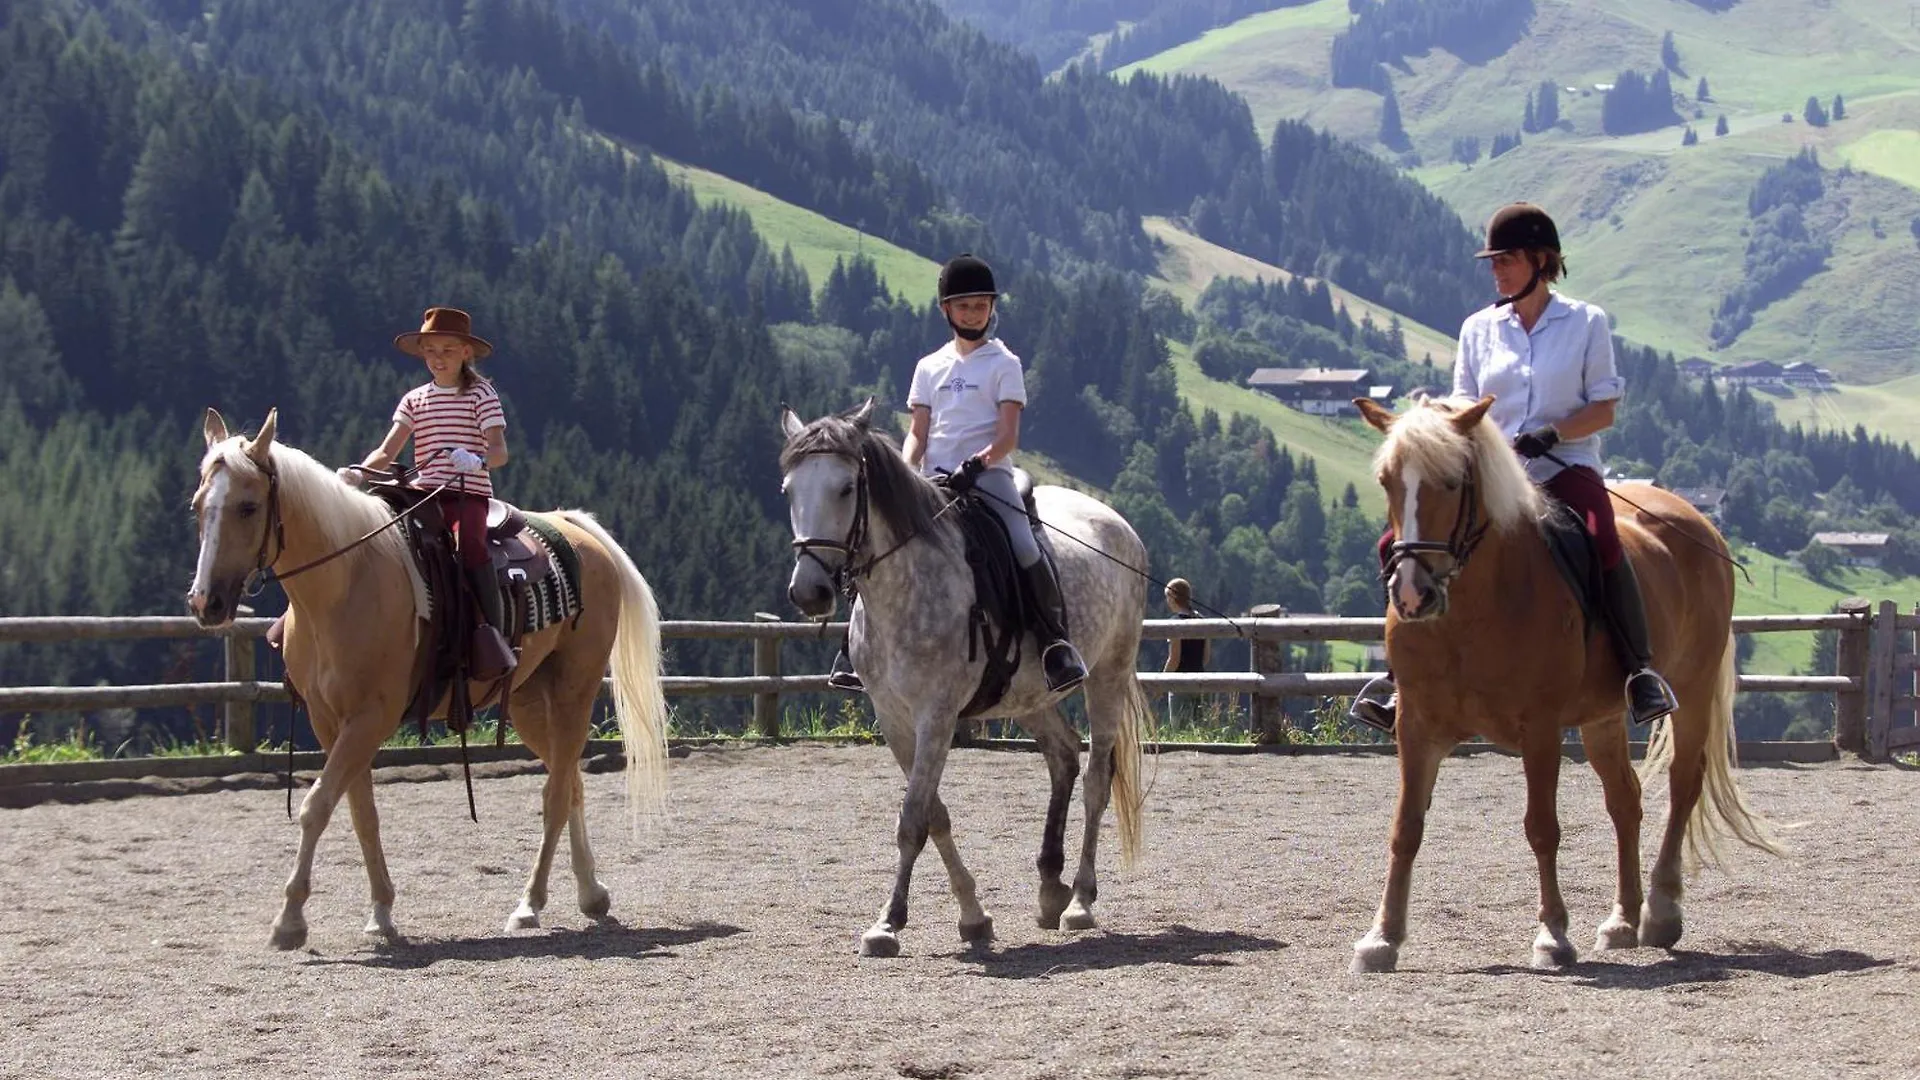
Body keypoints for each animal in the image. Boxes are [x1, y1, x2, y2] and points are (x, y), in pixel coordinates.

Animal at [187, 407, 668, 945]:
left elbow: (317, 805)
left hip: (573, 693)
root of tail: (576, 528)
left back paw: (529, 905)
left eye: (248, 507)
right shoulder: (329, 721)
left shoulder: (370, 717)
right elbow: (361, 812)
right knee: (572, 784)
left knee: (556, 795)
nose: (206, 602)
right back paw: (591, 894)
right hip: (528, 702)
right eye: (198, 506)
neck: (343, 585)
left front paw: (290, 921)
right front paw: (380, 912)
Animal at [775, 399, 1144, 953]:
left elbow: (912, 819)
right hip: (1029, 695)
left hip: (1108, 674)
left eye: (844, 488)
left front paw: (889, 923)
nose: (809, 592)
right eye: (789, 490)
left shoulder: (937, 714)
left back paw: (1079, 900)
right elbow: (933, 813)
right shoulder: (894, 718)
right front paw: (972, 916)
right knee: (1063, 756)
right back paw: (1049, 887)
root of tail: (1116, 521)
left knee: (1097, 779)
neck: (905, 585)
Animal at [1344, 393, 1774, 968]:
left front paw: (1551, 935)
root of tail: (1698, 523)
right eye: (1388, 480)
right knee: (1625, 801)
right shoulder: (1416, 725)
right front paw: (1382, 937)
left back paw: (1660, 911)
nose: (1413, 594)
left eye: (1454, 482)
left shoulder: (1541, 728)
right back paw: (1622, 920)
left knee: (1683, 783)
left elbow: (1542, 829)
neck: (1472, 610)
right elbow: (1406, 827)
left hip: (1695, 686)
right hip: (1603, 717)